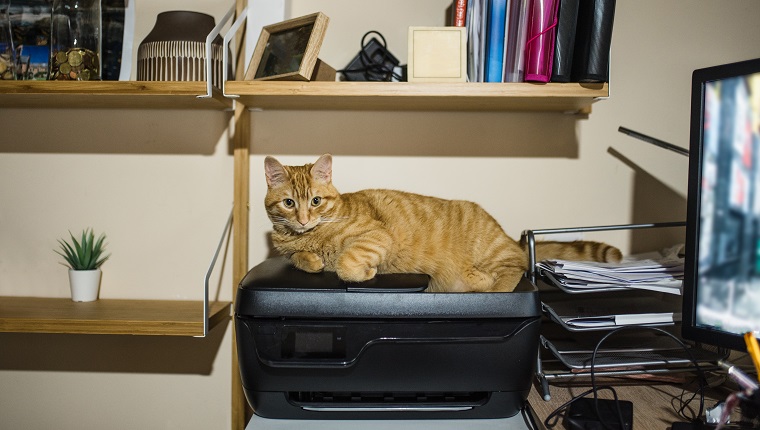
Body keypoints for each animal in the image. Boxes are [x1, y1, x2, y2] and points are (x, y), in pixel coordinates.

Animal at [264, 155, 620, 292]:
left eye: (315, 201)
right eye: (289, 203)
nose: (304, 219)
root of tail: (507, 235)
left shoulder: (376, 235)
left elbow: (347, 263)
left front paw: (362, 271)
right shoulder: (289, 249)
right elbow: (300, 260)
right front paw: (311, 259)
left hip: (492, 252)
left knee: (514, 268)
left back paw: (485, 281)